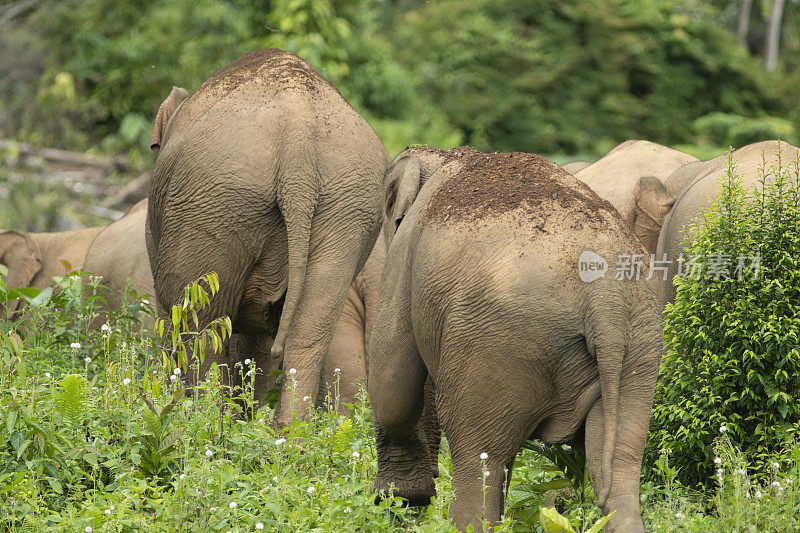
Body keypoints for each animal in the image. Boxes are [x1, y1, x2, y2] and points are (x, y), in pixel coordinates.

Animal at [370, 144, 664, 528]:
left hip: (496, 343)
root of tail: (606, 297)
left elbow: (391, 384)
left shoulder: (404, 252)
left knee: (477, 453)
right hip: (640, 343)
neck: (444, 156)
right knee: (619, 466)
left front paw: (400, 499)